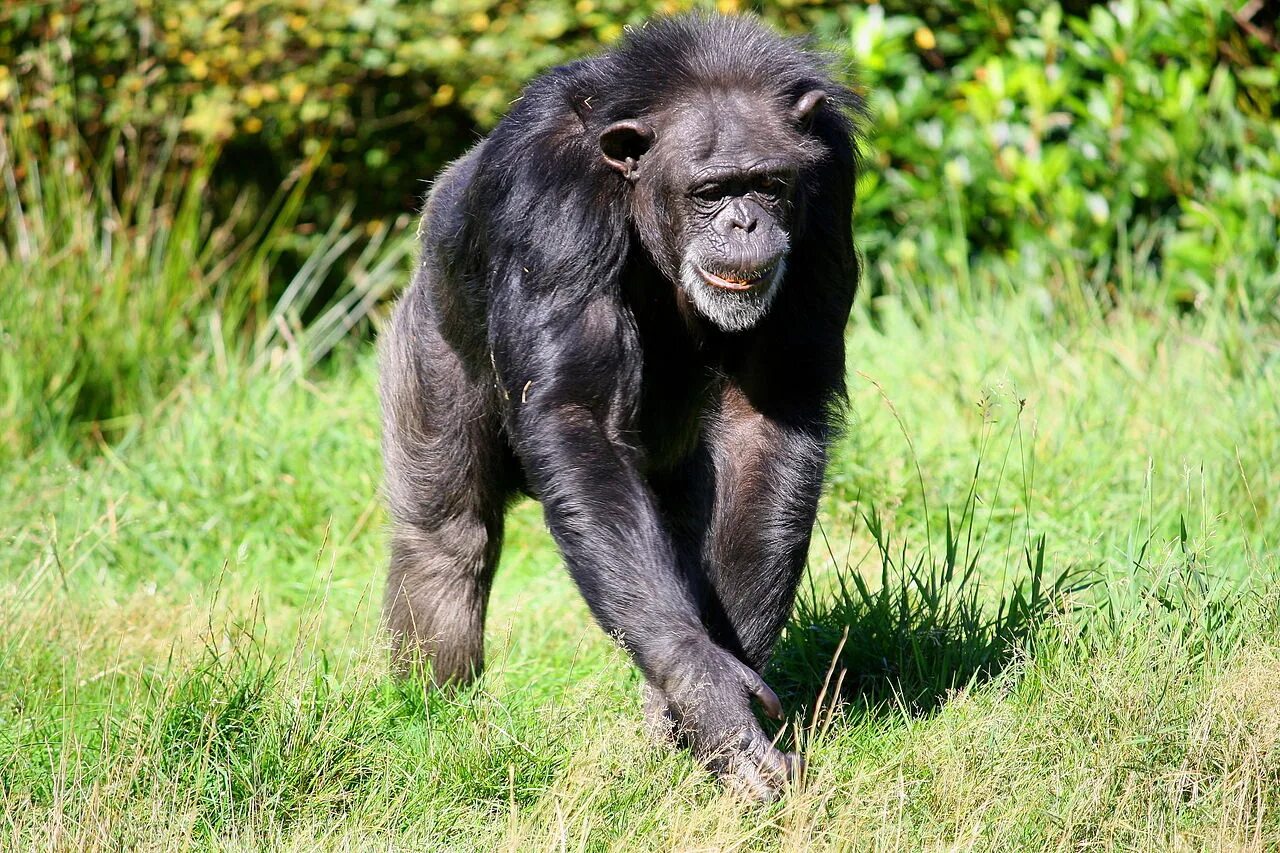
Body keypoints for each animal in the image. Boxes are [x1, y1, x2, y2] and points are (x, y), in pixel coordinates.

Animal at [376, 13, 860, 799]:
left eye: (770, 185)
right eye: (711, 191)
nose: (745, 224)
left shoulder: (831, 179)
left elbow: (766, 420)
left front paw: (699, 710)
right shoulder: (552, 192)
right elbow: (577, 415)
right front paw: (706, 690)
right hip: (425, 339)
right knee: (447, 536)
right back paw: (435, 712)